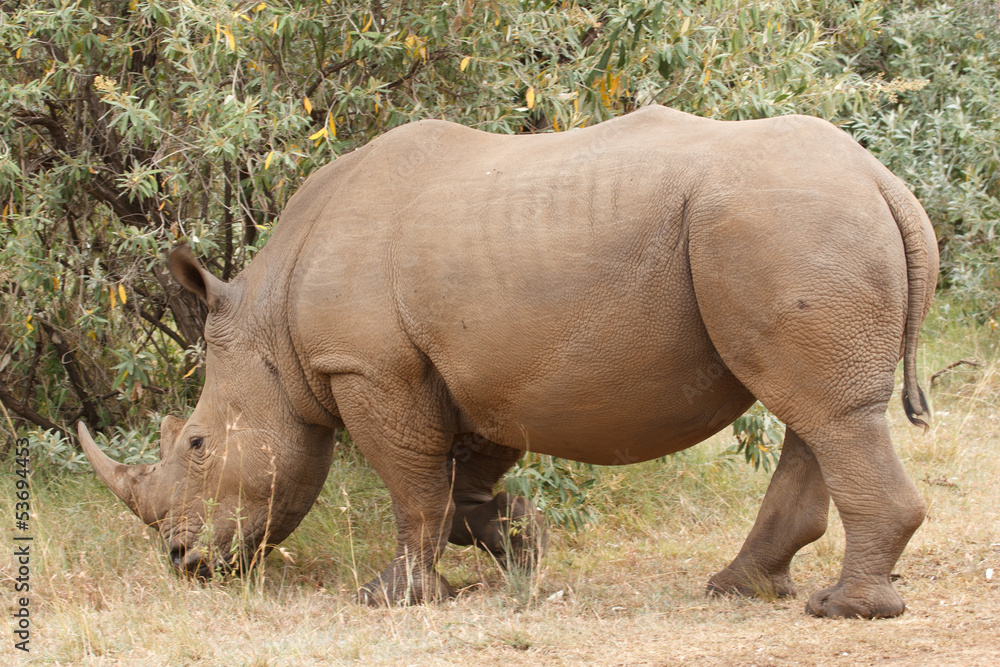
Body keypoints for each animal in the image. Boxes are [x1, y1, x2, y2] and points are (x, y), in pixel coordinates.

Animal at [80, 106, 938, 618]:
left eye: (195, 444)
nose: (183, 561)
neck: (270, 324)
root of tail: (886, 182)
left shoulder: (367, 366)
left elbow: (414, 487)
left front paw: (392, 598)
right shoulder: (473, 373)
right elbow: (461, 488)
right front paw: (526, 547)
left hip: (785, 223)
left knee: (825, 412)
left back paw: (842, 607)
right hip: (800, 225)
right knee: (815, 412)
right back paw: (741, 588)